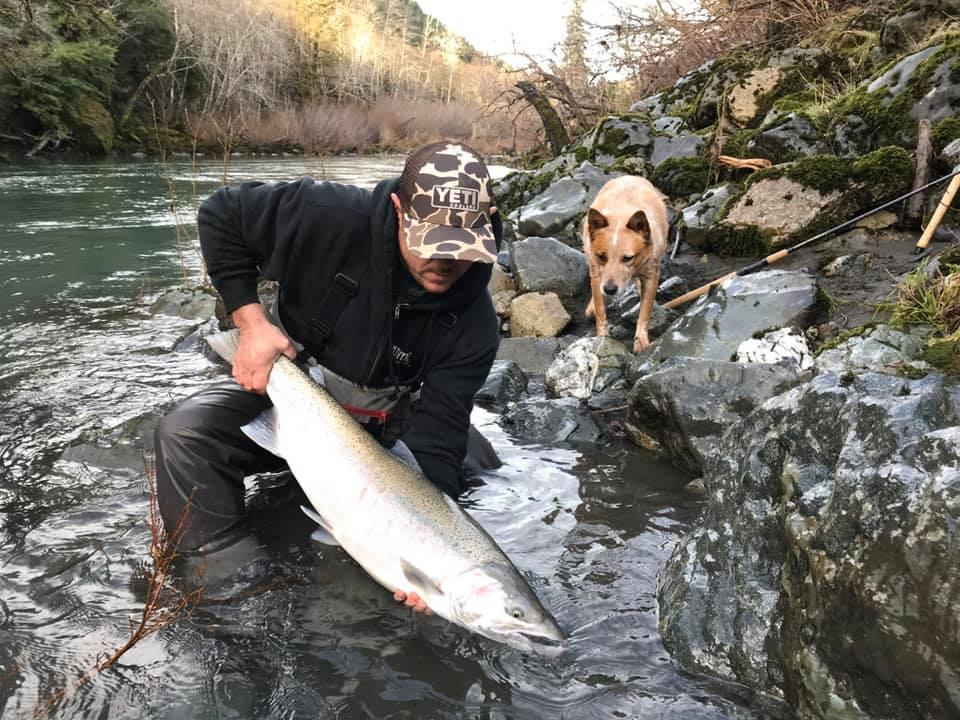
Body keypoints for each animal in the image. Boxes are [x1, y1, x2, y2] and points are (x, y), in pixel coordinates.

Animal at [584, 176, 668, 352]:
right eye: (601, 256)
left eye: (628, 258)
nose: (609, 290)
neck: (620, 216)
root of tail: (628, 176)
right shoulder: (596, 273)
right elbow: (600, 309)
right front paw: (602, 338)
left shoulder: (652, 275)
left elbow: (644, 312)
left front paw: (641, 342)